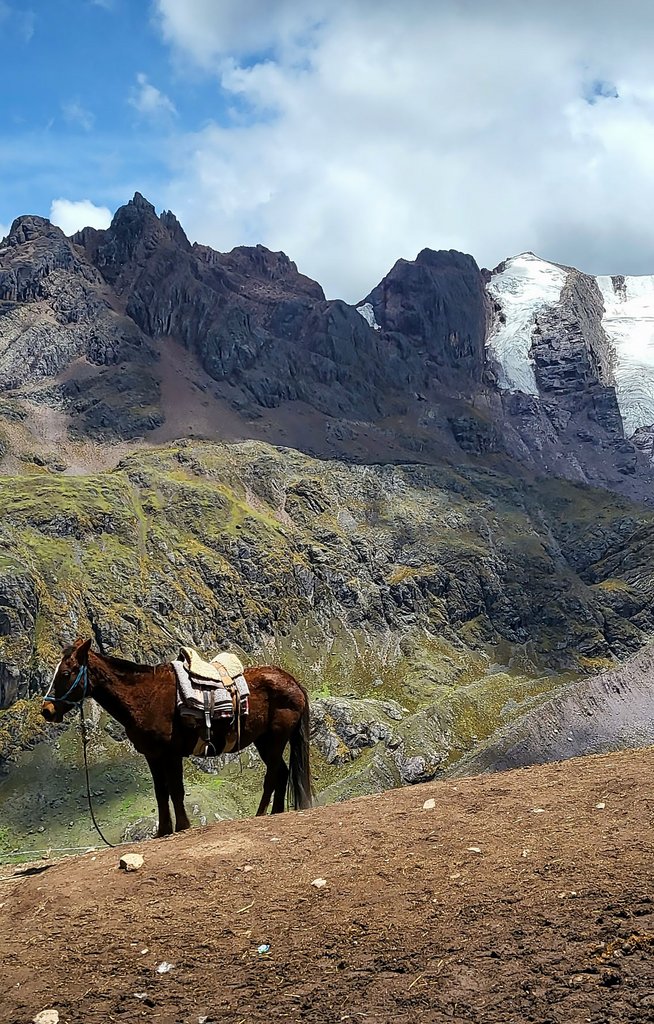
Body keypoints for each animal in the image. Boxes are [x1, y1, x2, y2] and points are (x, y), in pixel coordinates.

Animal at [42, 638, 313, 839]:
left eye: (65, 672)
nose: (47, 710)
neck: (144, 696)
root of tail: (293, 682)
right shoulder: (152, 755)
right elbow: (161, 792)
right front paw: (163, 830)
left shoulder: (171, 754)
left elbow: (175, 790)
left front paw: (182, 826)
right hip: (264, 741)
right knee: (281, 773)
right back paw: (275, 813)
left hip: (274, 740)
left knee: (274, 776)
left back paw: (262, 814)